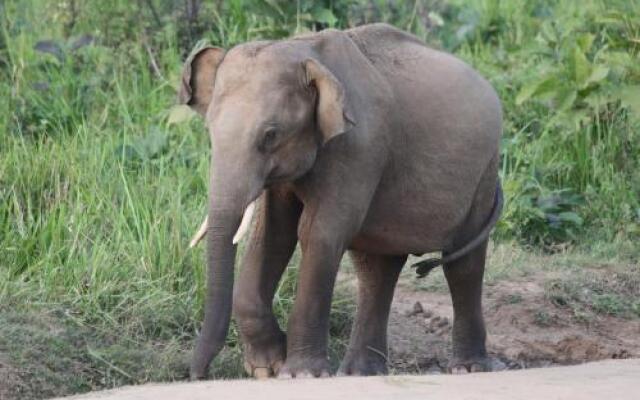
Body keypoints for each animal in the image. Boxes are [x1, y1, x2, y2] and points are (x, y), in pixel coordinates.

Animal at [178, 23, 502, 380]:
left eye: (271, 135)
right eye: (210, 131)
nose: (197, 375)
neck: (304, 51)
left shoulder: (359, 148)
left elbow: (318, 233)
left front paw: (298, 374)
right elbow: (273, 236)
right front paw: (268, 366)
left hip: (484, 173)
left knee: (463, 263)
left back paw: (468, 368)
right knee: (377, 268)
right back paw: (362, 372)